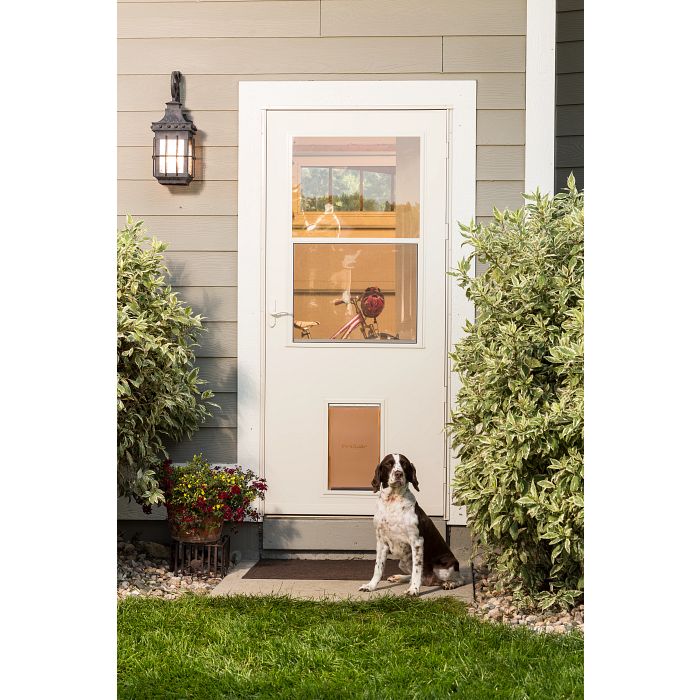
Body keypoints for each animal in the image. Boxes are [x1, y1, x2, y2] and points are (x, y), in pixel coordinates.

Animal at [360, 454, 464, 596]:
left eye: (404, 464)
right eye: (388, 464)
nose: (398, 473)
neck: (393, 501)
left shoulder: (417, 541)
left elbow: (417, 569)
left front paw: (413, 590)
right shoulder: (381, 542)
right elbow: (378, 568)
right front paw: (370, 586)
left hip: (444, 568)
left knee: (459, 579)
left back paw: (450, 583)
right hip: (402, 563)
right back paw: (399, 577)